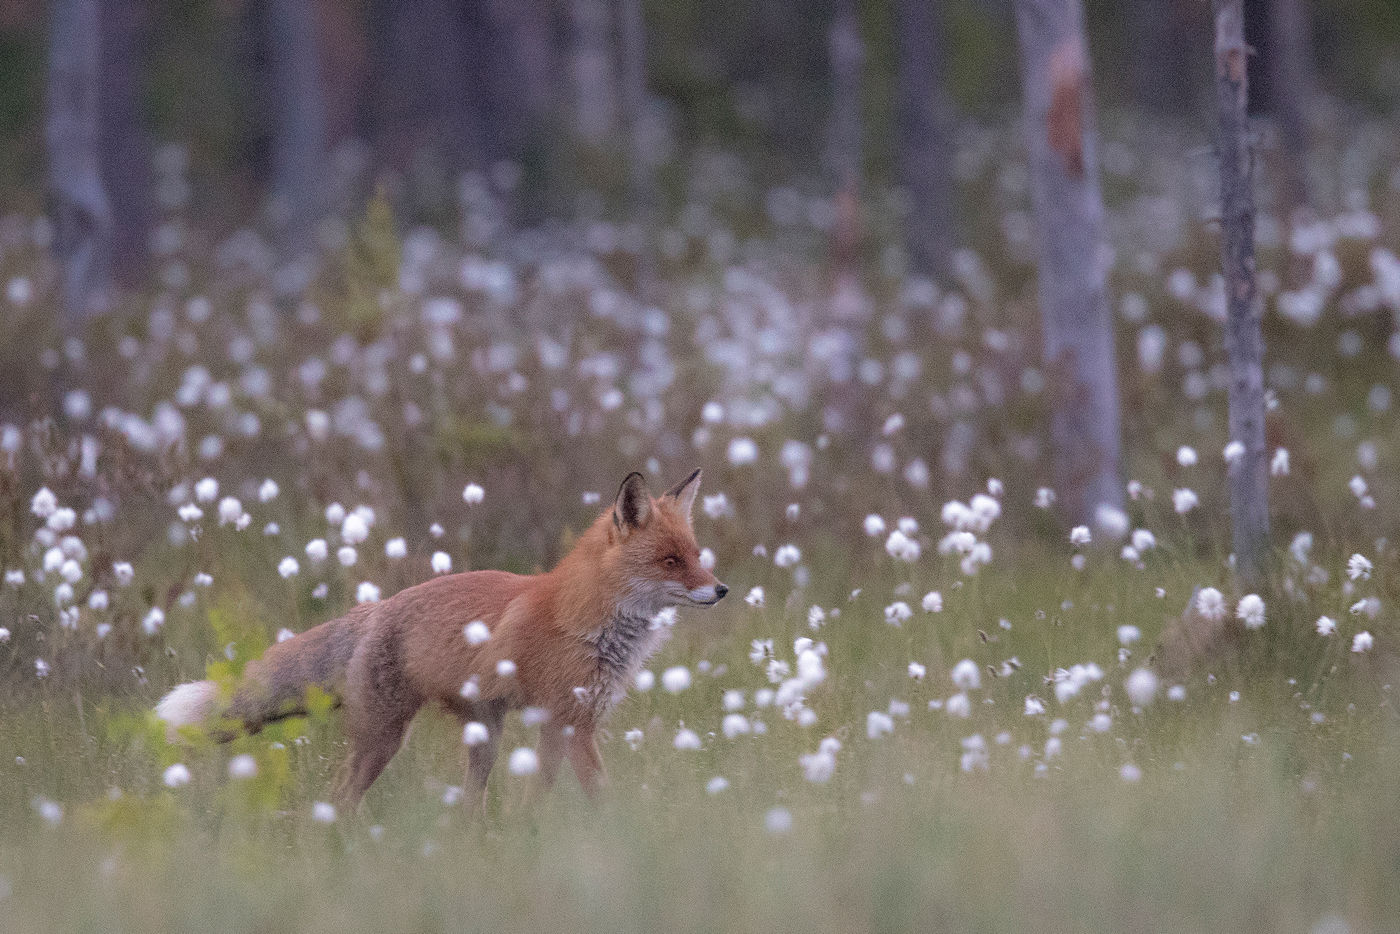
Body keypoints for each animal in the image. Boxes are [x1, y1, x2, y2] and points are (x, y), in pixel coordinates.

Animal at [157, 470, 728, 806]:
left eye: (696, 555)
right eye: (670, 561)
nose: (722, 590)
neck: (589, 622)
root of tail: (373, 609)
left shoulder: (564, 723)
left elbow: (540, 796)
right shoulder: (569, 720)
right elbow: (600, 795)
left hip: (484, 737)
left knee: (465, 806)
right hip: (383, 739)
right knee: (337, 799)